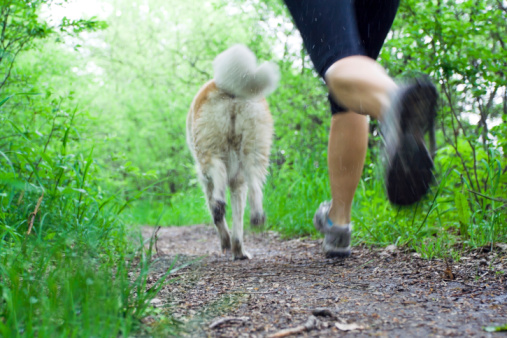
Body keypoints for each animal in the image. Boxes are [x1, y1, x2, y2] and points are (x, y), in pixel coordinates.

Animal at [188, 45, 282, 260]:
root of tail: (230, 88)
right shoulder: (238, 182)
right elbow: (237, 220)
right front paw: (238, 249)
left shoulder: (206, 182)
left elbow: (218, 219)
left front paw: (226, 242)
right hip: (256, 147)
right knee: (254, 184)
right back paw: (257, 217)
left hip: (209, 149)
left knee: (218, 173)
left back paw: (220, 204)